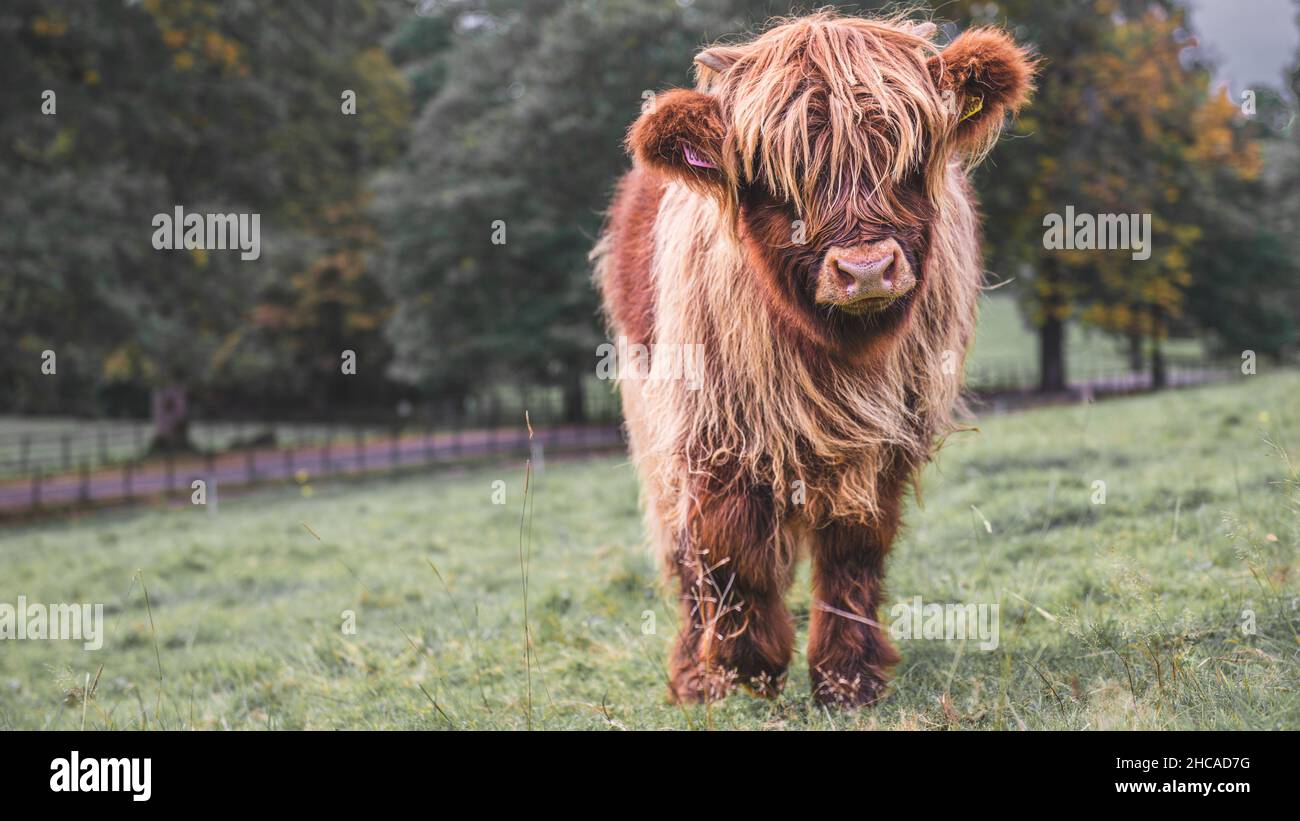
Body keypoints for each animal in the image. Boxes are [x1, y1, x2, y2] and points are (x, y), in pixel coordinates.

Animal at [592, 12, 1035, 706]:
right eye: (777, 177)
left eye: (911, 156)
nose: (866, 269)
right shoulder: (716, 431)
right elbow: (730, 551)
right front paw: (745, 672)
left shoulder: (885, 437)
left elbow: (853, 554)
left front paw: (848, 678)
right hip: (651, 418)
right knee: (682, 550)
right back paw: (694, 675)